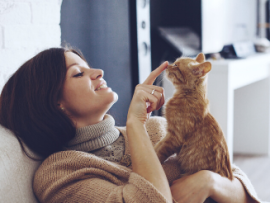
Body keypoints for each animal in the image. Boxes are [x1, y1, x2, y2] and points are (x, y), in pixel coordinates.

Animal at [155, 52, 233, 182]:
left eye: (176, 65)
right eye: (174, 63)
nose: (167, 65)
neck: (188, 95)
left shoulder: (174, 137)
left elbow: (159, 152)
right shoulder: (169, 134)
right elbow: (158, 145)